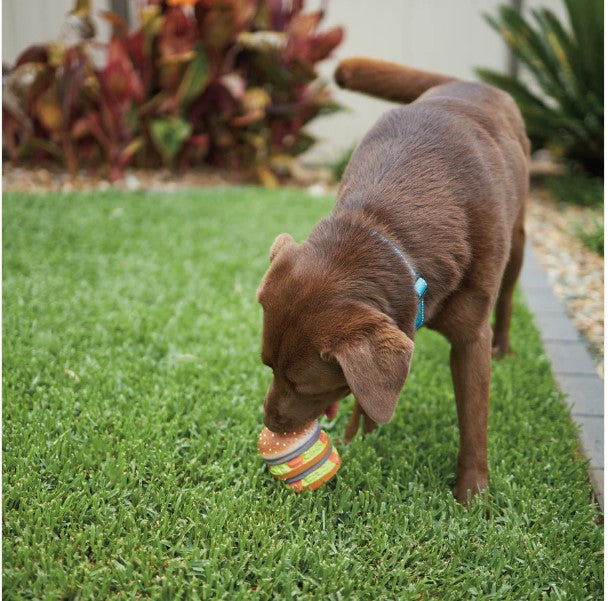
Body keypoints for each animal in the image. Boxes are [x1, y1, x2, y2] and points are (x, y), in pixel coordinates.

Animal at [256, 58, 528, 504]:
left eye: (303, 385)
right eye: (268, 366)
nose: (272, 424)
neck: (385, 223)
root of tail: (466, 82)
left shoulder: (471, 339)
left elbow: (474, 420)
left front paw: (473, 496)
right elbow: (371, 392)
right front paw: (360, 436)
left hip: (519, 239)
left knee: (506, 297)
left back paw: (505, 348)